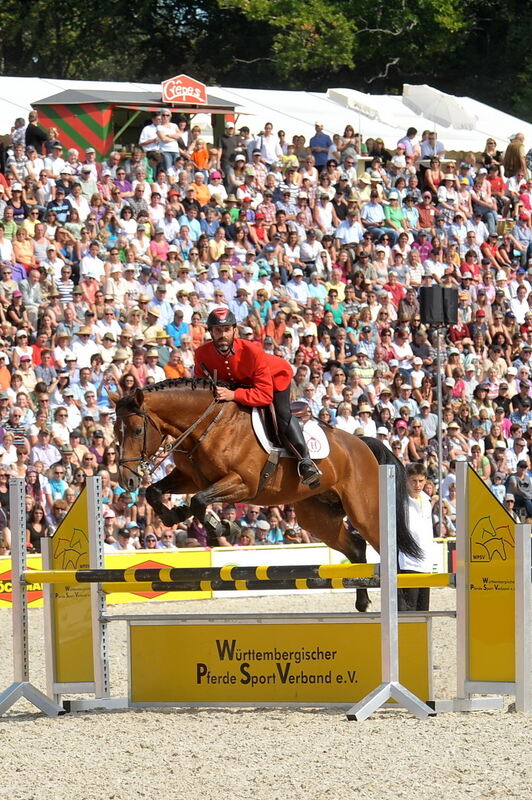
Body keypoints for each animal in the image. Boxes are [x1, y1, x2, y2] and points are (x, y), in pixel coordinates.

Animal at [111, 378, 420, 608]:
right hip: (319, 519)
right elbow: (156, 493)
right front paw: (178, 515)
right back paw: (363, 602)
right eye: (115, 430)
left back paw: (404, 603)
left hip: (365, 513)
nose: (127, 479)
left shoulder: (242, 483)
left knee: (388, 550)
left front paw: (221, 526)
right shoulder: (190, 478)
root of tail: (362, 443)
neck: (208, 424)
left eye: (137, 430)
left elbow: (199, 500)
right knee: (355, 547)